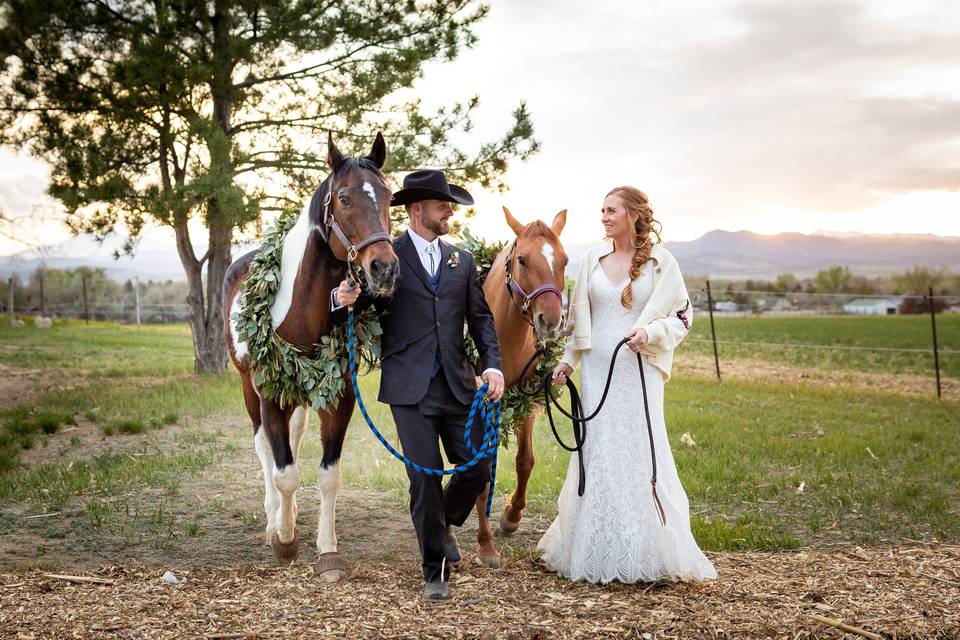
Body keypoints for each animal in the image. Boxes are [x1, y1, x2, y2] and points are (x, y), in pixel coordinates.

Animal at [223, 134, 396, 580]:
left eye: (389, 196)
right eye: (344, 198)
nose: (384, 268)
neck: (303, 310)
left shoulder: (339, 397)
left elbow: (328, 475)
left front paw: (327, 551)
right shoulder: (270, 396)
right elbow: (284, 471)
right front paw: (284, 541)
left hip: (300, 392)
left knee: (294, 437)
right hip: (250, 388)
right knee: (265, 449)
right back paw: (273, 518)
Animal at [474, 208, 568, 568]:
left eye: (565, 261)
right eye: (523, 260)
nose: (551, 321)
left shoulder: (526, 401)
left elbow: (525, 461)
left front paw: (511, 517)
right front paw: (485, 544)